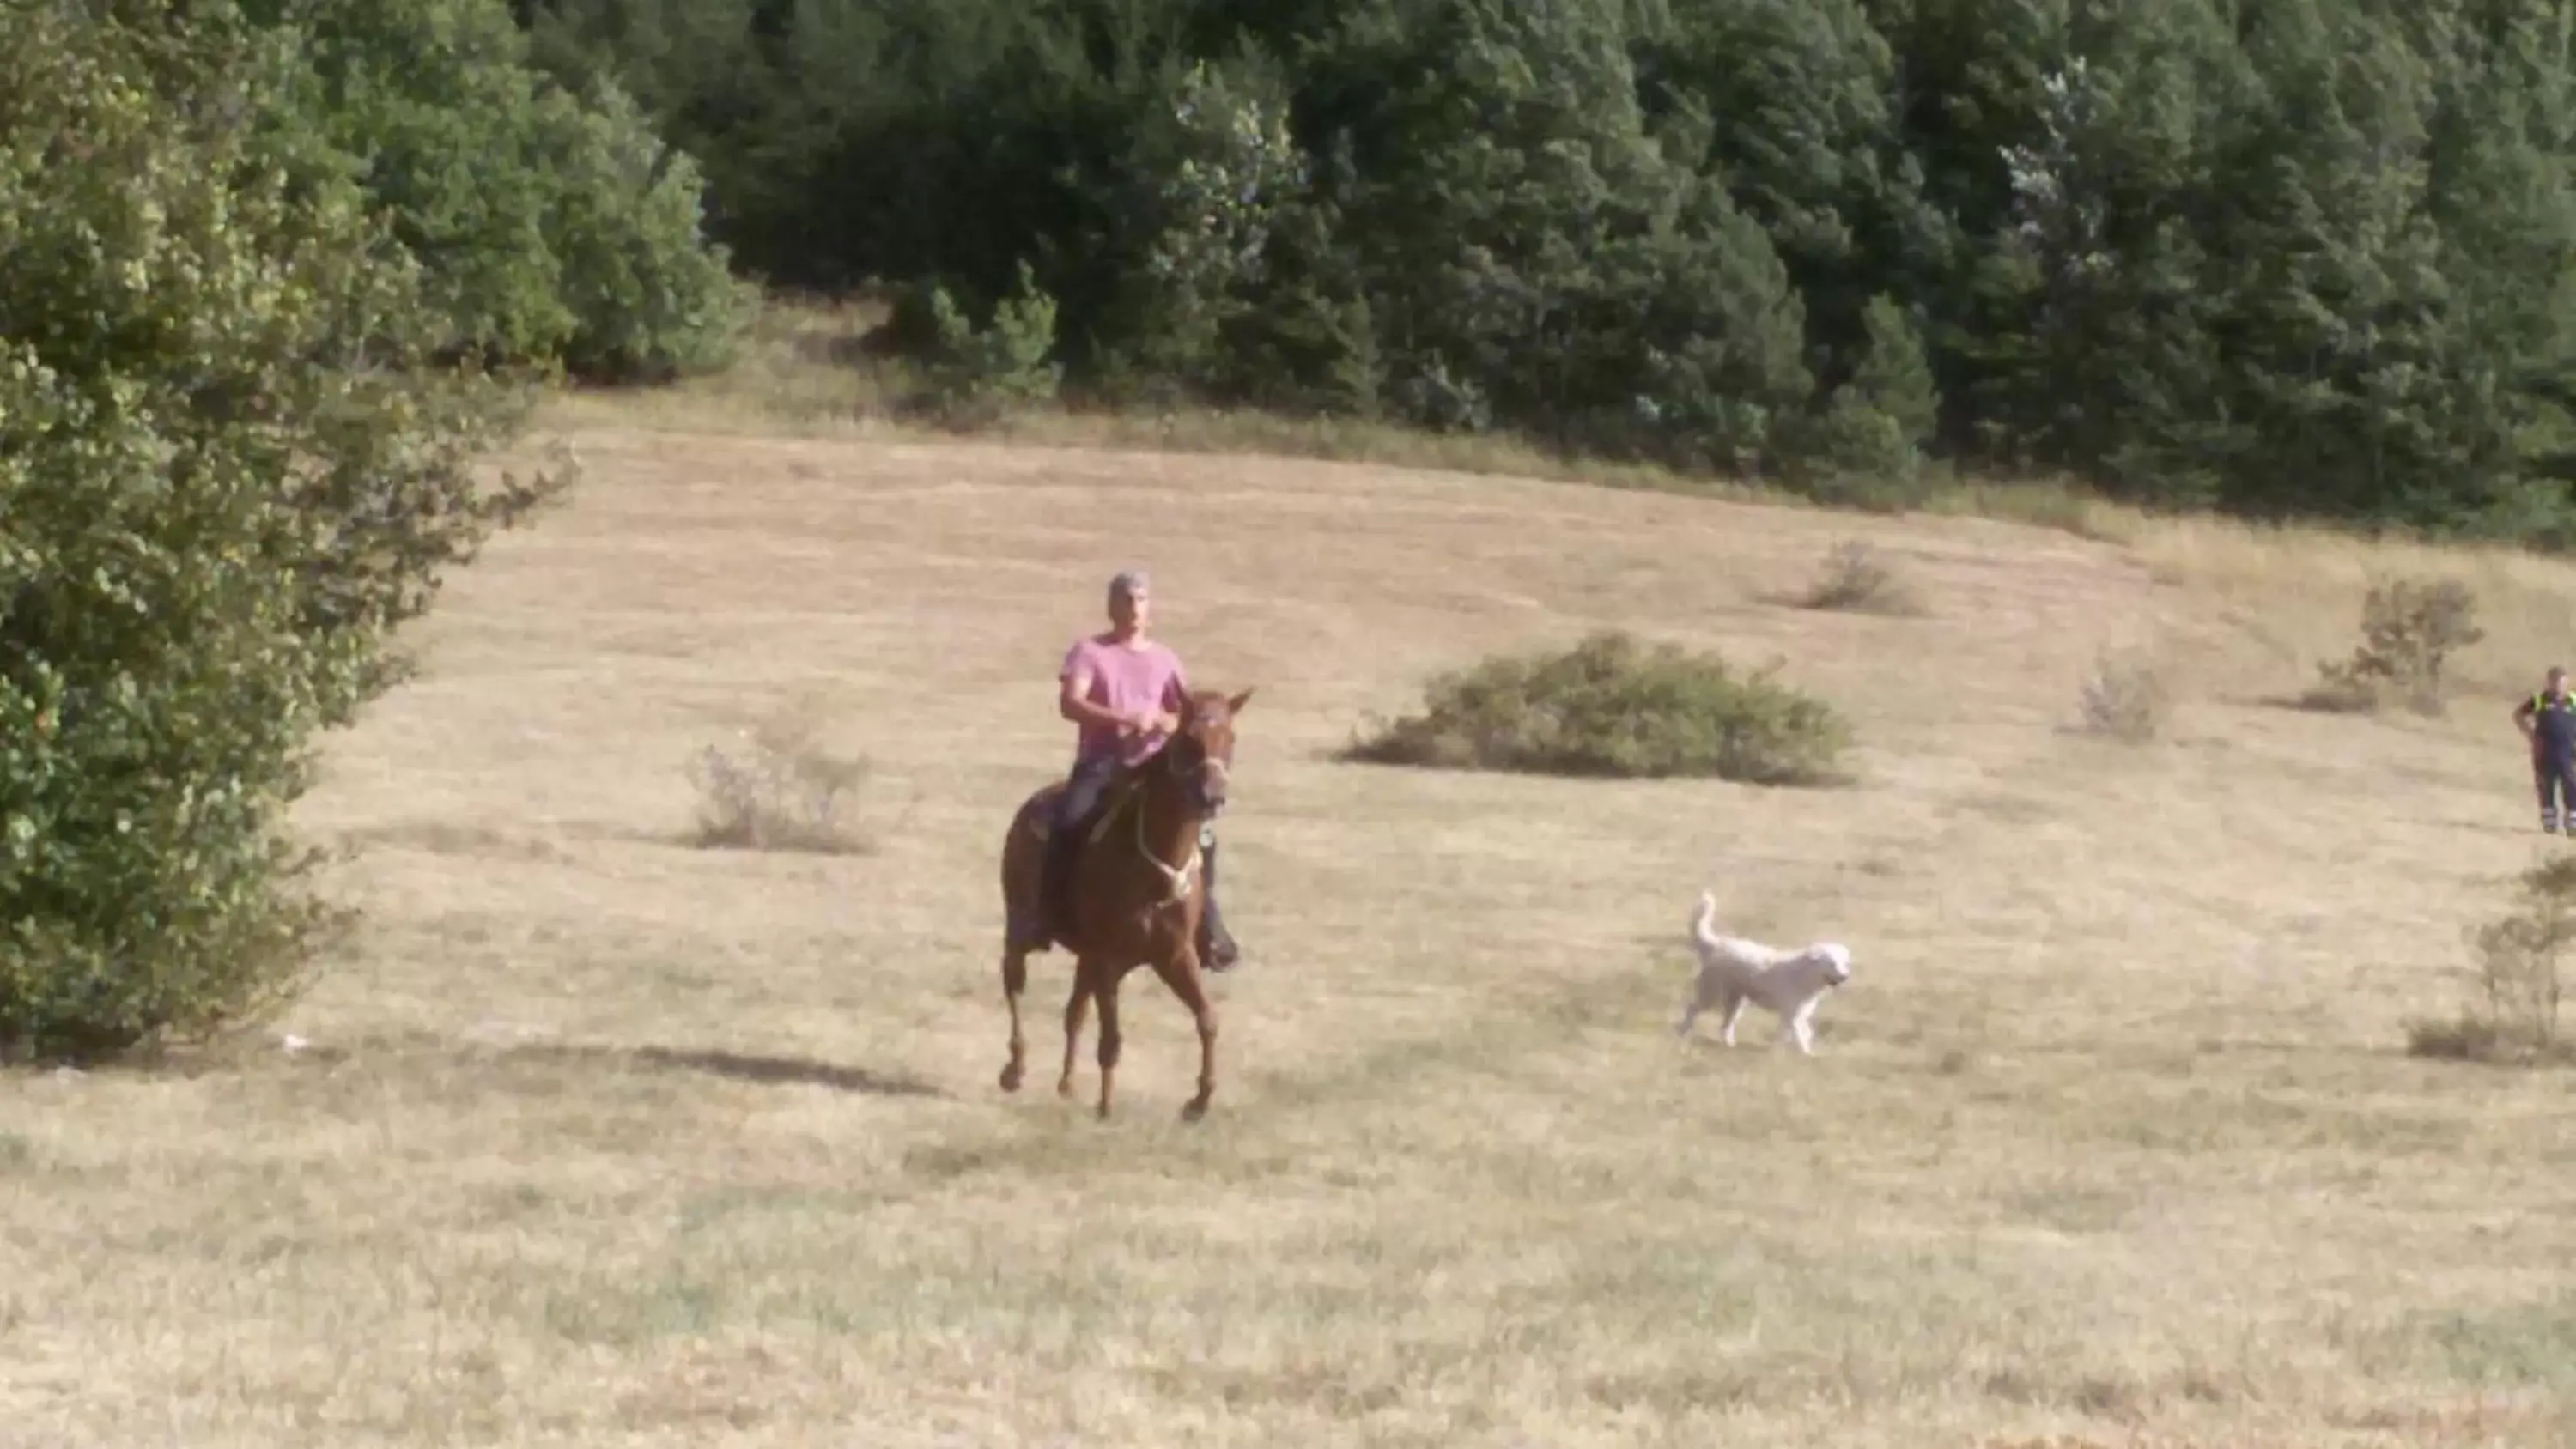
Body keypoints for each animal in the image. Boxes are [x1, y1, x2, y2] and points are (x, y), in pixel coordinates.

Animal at [994, 689, 1257, 1122]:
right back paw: (1014, 1069)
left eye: (1231, 739)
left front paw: (1199, 1101)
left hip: (1085, 957)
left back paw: (1067, 1083)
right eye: (1189, 740)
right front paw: (1106, 1107)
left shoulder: (1174, 956)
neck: (1155, 868)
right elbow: (1111, 1038)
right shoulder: (1108, 962)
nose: (1213, 798)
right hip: (1021, 928)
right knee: (1014, 984)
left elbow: (1207, 1019)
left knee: (1074, 1012)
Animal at [1669, 885, 1855, 1055]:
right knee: (1692, 1009)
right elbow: (1800, 1037)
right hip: (1711, 995)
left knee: (1726, 1025)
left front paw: (1780, 1052)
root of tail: (1718, 944)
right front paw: (1806, 1056)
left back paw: (1729, 1045)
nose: (1844, 976)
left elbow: (1793, 1035)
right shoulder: (1792, 1014)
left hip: (1735, 1002)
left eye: (1844, 963)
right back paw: (1682, 1033)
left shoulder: (1797, 1014)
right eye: (1832, 963)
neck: (1804, 974)